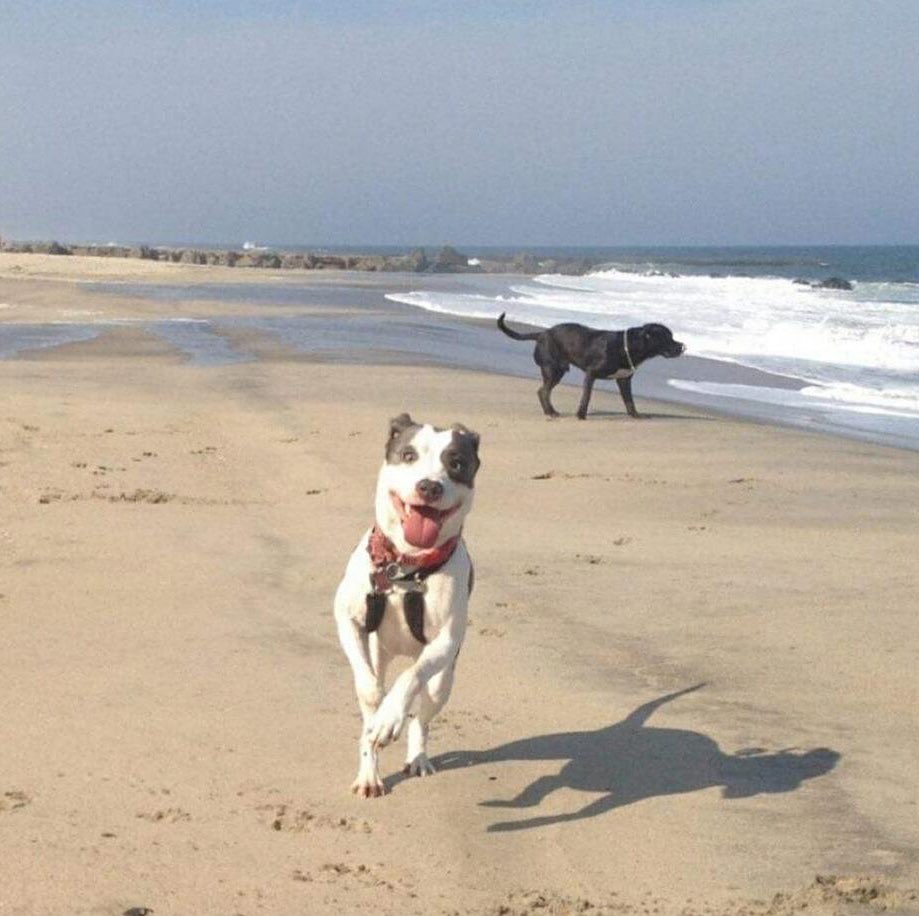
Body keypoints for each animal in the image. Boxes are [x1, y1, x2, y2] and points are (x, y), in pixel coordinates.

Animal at [336, 414, 482, 796]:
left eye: (456, 463)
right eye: (408, 454)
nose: (429, 487)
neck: (406, 565)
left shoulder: (445, 641)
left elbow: (410, 678)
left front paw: (391, 715)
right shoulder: (347, 618)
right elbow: (368, 686)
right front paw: (376, 706)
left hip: (443, 681)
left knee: (423, 714)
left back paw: (417, 757)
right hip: (380, 650)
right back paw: (369, 775)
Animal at [496, 314, 684, 416]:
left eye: (672, 337)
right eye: (667, 338)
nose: (682, 346)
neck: (627, 346)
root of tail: (542, 333)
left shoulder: (624, 379)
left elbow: (629, 401)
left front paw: (636, 415)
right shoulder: (591, 373)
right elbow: (586, 397)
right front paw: (581, 415)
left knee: (543, 391)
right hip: (553, 369)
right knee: (543, 391)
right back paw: (551, 412)